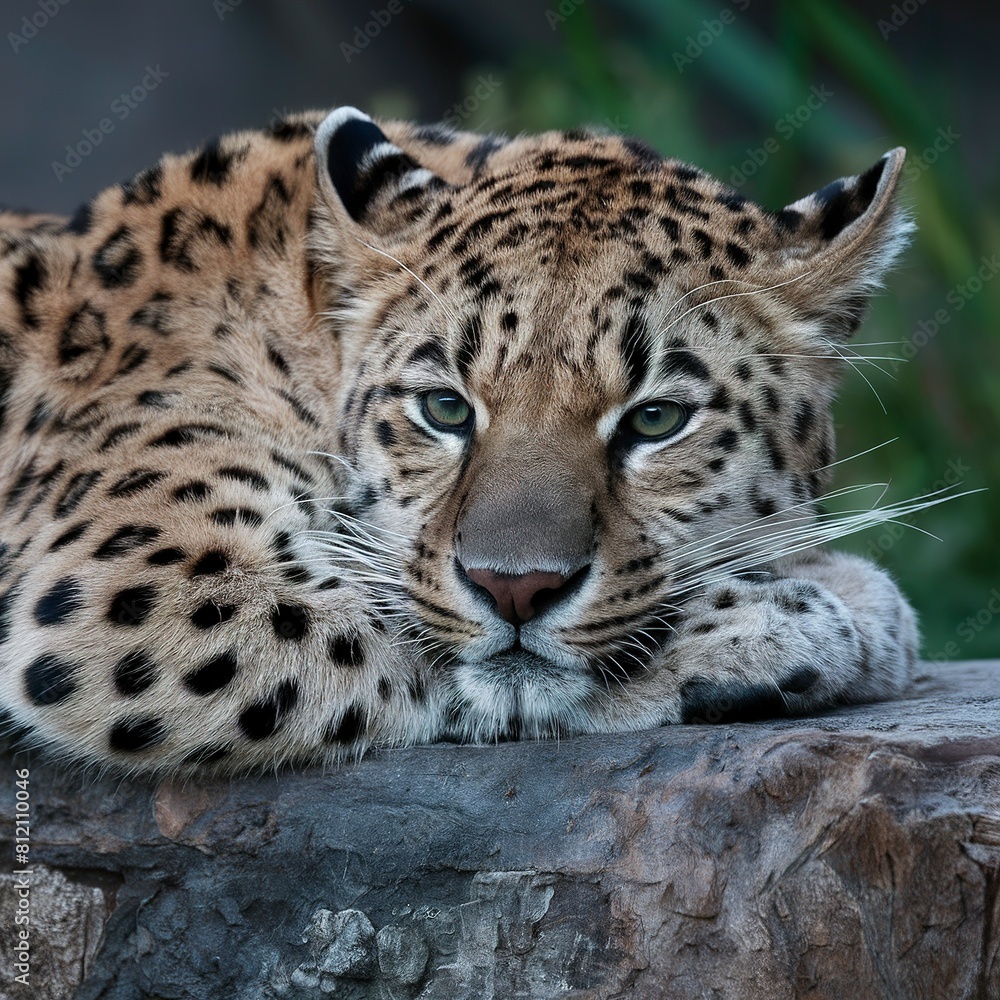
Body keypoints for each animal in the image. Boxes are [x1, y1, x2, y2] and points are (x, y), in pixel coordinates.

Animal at [0, 106, 920, 774]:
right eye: (444, 409)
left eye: (657, 420)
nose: (516, 589)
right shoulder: (141, 581)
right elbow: (414, 629)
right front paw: (807, 621)